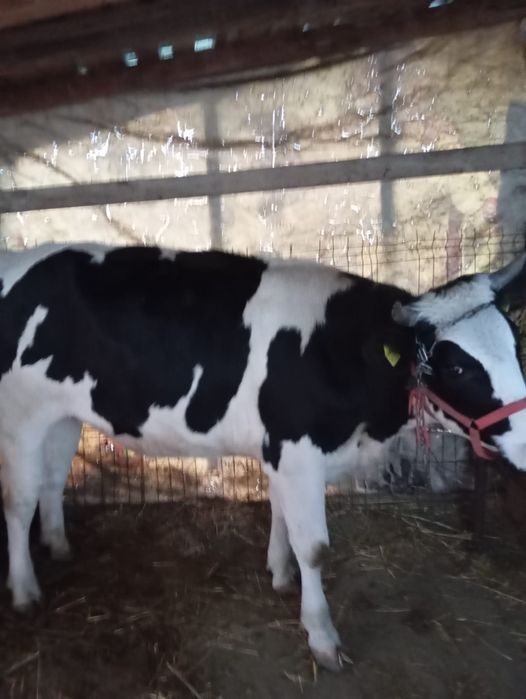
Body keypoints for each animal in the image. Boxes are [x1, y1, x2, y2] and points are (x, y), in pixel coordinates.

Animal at [0, 243, 525, 671]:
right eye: (457, 367)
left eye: (516, 344)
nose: (524, 440)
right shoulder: (297, 452)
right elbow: (314, 546)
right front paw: (321, 636)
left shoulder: (284, 454)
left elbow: (281, 517)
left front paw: (280, 572)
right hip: (21, 416)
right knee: (19, 502)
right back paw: (24, 591)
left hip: (63, 415)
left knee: (51, 481)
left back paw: (59, 545)